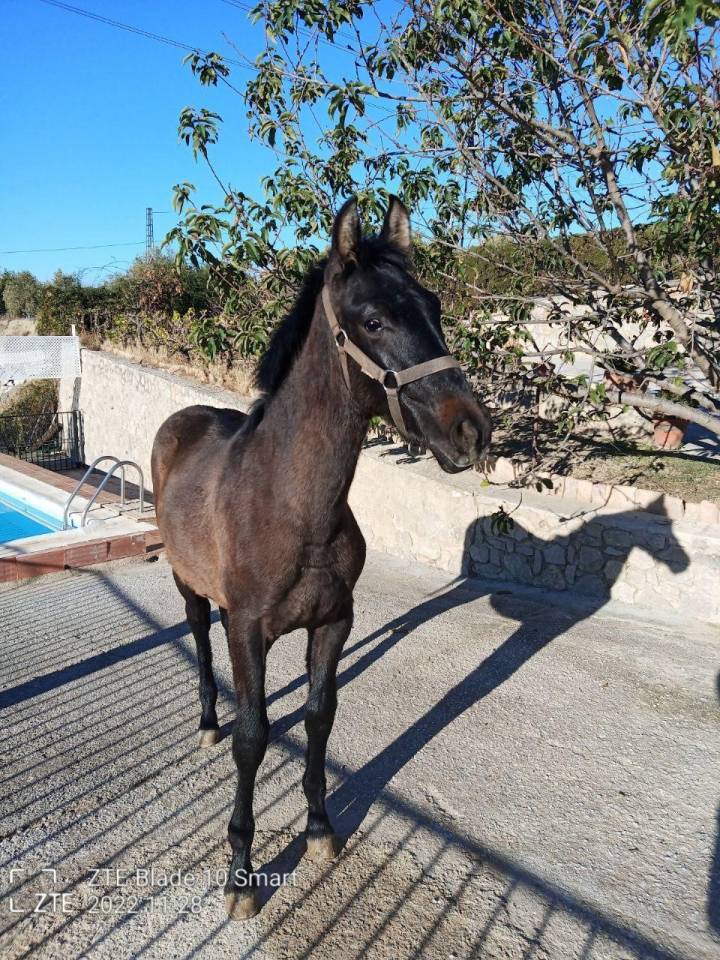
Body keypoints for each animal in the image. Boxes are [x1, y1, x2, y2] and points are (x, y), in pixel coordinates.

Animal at [151, 196, 492, 919]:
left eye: (435, 305)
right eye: (373, 319)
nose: (471, 430)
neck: (292, 503)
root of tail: (183, 418)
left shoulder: (334, 622)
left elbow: (317, 718)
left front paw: (318, 830)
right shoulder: (250, 629)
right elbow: (254, 738)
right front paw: (241, 873)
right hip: (188, 584)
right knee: (199, 636)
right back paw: (207, 721)